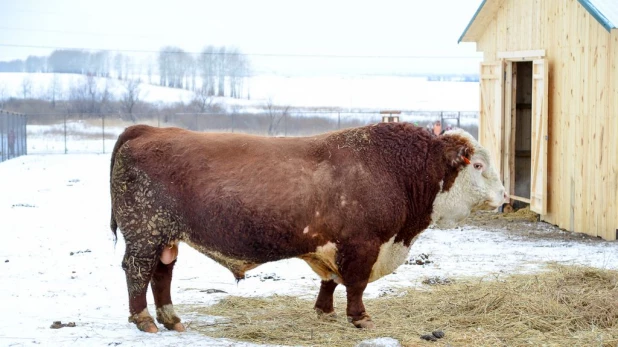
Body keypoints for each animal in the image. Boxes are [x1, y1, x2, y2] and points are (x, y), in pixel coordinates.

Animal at [109, 122, 506, 332]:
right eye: (478, 166)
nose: (504, 195)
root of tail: (149, 130)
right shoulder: (362, 245)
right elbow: (356, 285)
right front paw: (359, 318)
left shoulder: (331, 247)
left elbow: (330, 281)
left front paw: (324, 310)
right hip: (145, 234)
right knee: (137, 272)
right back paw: (143, 319)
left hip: (165, 238)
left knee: (162, 274)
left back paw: (171, 318)